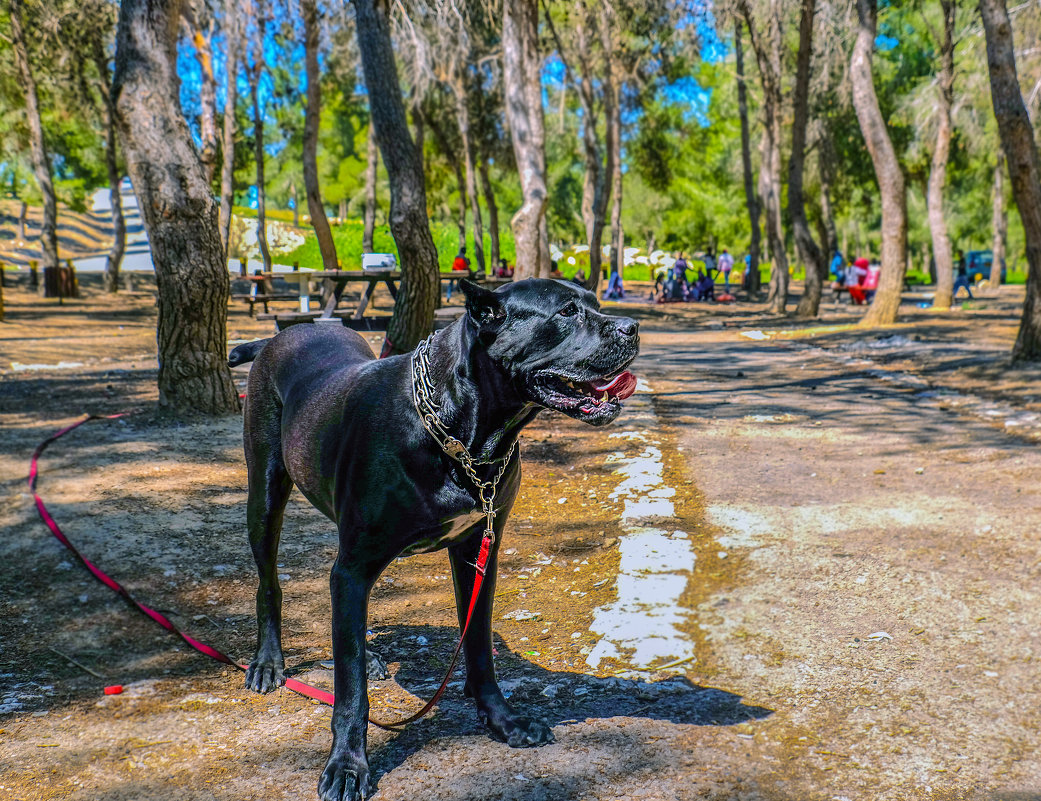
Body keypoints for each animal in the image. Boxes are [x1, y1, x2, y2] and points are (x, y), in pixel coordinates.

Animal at [231, 277, 637, 799]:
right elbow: (350, 689)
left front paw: (502, 721)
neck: (465, 433)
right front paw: (347, 765)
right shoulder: (356, 564)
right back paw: (267, 663)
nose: (632, 327)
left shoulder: (478, 552)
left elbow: (479, 647)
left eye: (595, 303)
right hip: (264, 494)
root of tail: (279, 336)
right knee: (271, 585)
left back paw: (371, 655)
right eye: (567, 312)